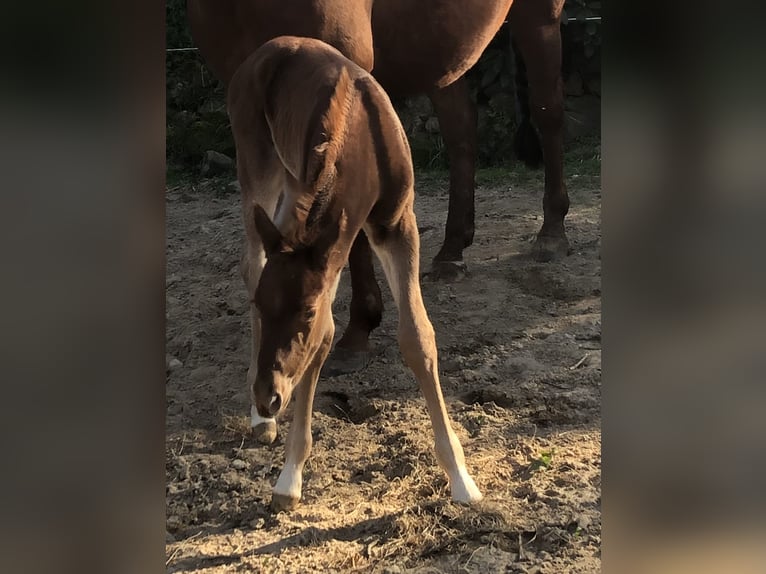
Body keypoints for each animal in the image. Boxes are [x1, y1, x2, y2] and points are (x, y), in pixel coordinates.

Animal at [228, 35, 483, 510]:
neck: (364, 141)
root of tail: (262, 51)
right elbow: (325, 338)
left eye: (305, 313)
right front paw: (289, 478)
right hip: (257, 168)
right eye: (261, 307)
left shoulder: (396, 226)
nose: (268, 397)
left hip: (292, 186)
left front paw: (461, 479)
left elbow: (416, 337)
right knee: (252, 263)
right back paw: (259, 422)